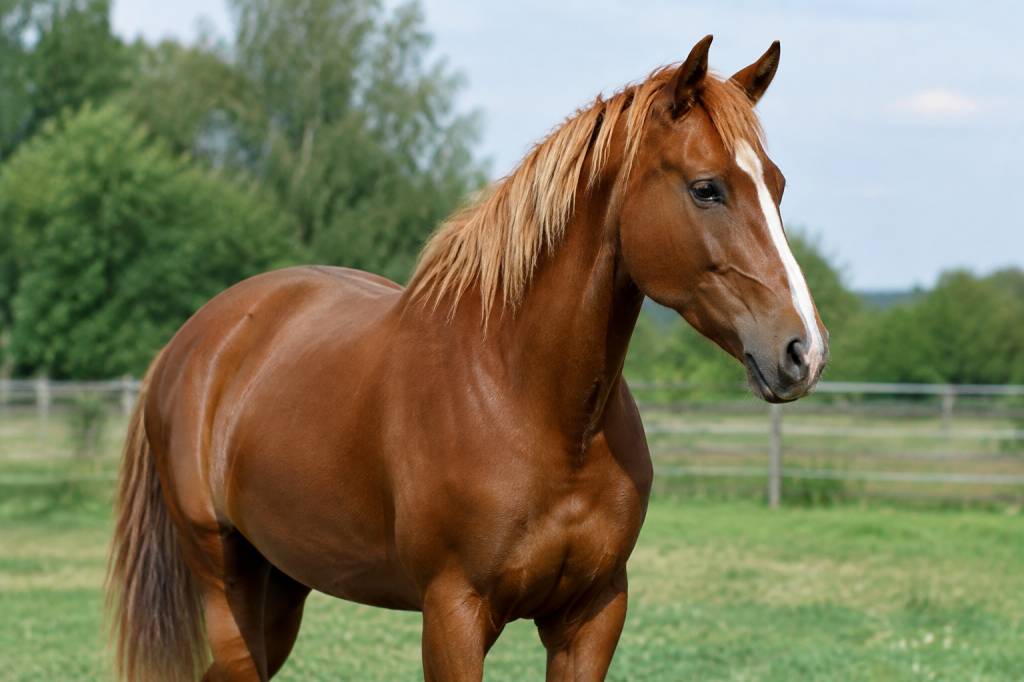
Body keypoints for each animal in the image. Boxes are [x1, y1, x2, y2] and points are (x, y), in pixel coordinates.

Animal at [107, 35, 827, 681]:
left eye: (778, 185)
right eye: (707, 189)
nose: (804, 350)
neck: (532, 403)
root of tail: (191, 344)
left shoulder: (592, 615)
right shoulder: (453, 615)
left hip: (282, 581)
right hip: (223, 578)